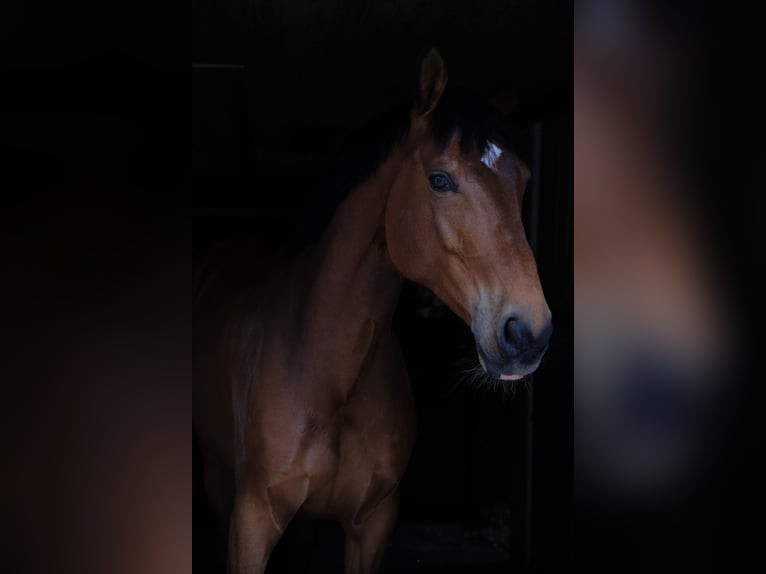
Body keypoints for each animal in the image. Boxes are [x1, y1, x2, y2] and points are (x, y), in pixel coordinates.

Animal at [193, 48, 552, 574]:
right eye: (439, 180)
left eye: (523, 181)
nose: (528, 334)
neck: (332, 377)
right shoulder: (253, 518)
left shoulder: (374, 523)